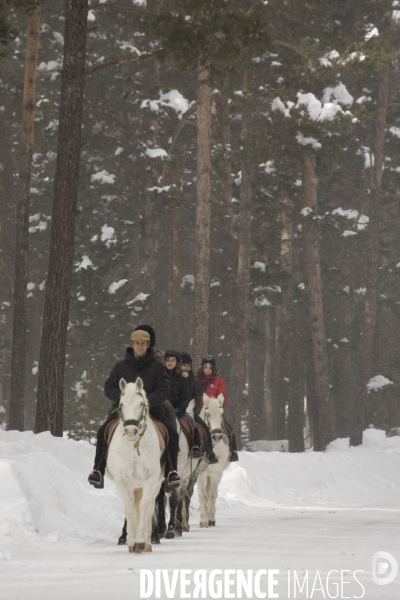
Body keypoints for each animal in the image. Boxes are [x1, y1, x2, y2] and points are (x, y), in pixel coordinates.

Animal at [105, 380, 165, 552]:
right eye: (121, 404)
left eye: (141, 404)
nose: (131, 431)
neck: (133, 446)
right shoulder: (122, 480)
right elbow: (130, 508)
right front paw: (131, 542)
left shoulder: (151, 478)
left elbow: (145, 505)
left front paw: (140, 541)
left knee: (149, 506)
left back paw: (148, 542)